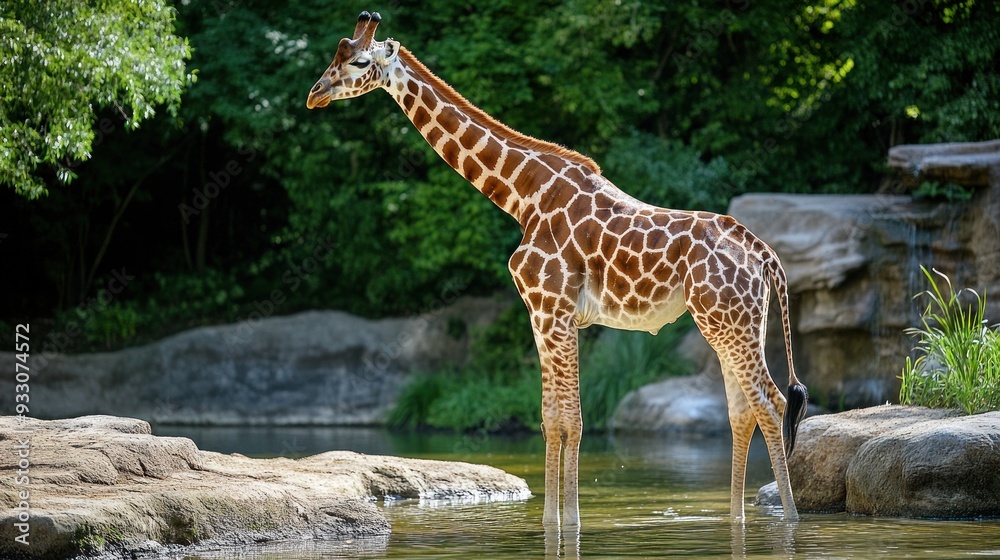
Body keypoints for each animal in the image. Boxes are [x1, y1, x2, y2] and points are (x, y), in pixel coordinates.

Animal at [306, 11, 809, 526]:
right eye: (334, 55)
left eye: (359, 61)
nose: (315, 93)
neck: (523, 195)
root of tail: (763, 252)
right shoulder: (548, 315)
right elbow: (555, 418)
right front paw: (558, 520)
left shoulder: (552, 309)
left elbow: (568, 420)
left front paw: (563, 523)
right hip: (736, 322)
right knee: (742, 410)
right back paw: (738, 519)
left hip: (727, 322)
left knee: (771, 403)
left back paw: (791, 518)